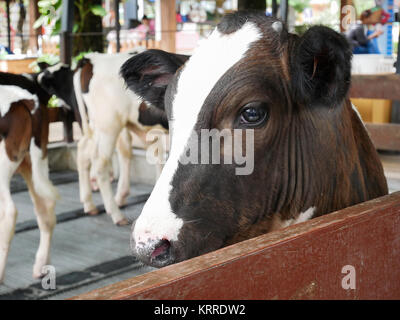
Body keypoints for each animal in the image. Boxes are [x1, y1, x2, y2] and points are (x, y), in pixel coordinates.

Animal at [39, 52, 170, 225]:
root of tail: (89, 59)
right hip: (110, 124)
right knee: (101, 162)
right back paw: (116, 213)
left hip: (99, 125)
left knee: (84, 151)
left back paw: (89, 204)